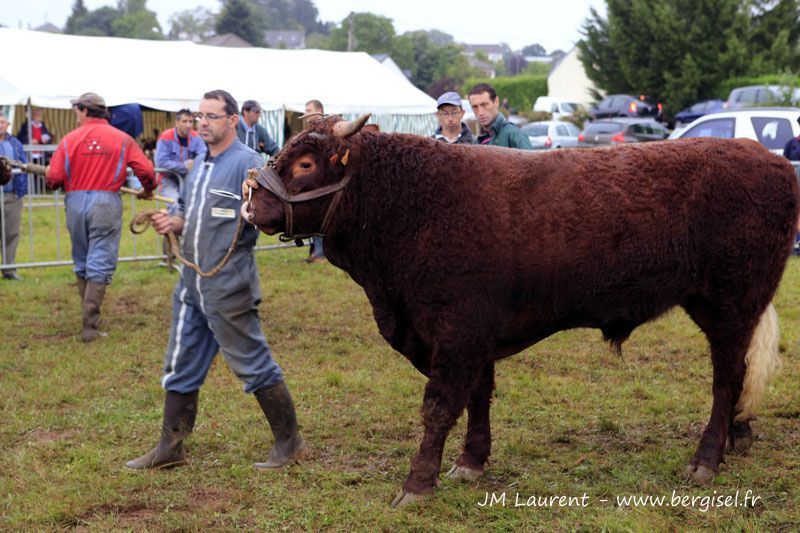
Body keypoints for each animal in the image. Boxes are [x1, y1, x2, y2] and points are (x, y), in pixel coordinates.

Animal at [242, 114, 800, 504]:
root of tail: (765, 157)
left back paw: (707, 457)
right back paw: (738, 435)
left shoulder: (457, 330)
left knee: (727, 376)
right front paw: (471, 461)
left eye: (306, 165)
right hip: (720, 304)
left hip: (732, 299)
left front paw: (416, 485)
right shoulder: (471, 333)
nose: (250, 202)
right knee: (739, 371)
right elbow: (477, 397)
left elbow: (439, 405)